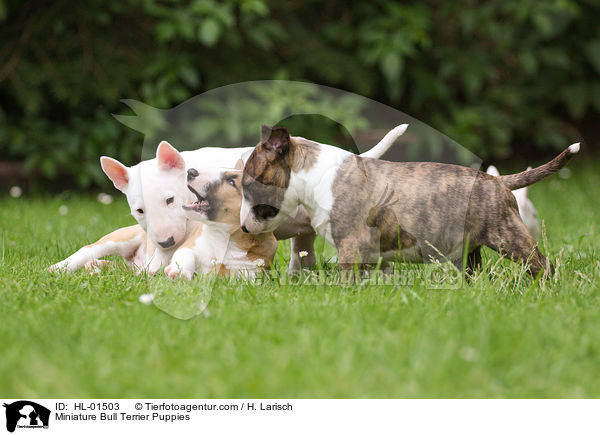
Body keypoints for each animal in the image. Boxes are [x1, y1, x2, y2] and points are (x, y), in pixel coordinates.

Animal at [239, 124, 580, 278]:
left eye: (247, 181)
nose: (242, 228)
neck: (313, 175)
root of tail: (498, 181)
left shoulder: (351, 244)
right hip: (472, 250)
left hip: (508, 237)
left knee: (544, 265)